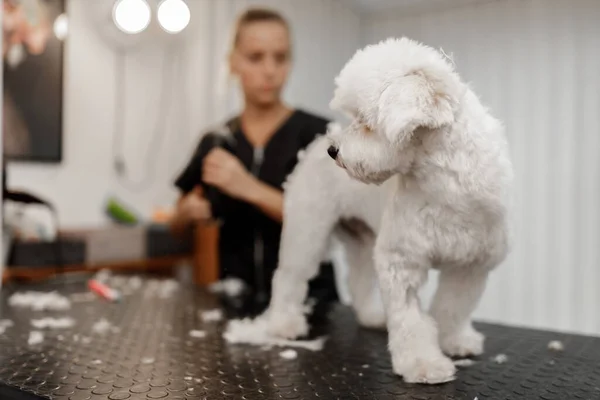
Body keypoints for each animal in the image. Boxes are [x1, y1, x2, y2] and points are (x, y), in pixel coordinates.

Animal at [268, 36, 516, 384]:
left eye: (366, 122)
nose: (334, 150)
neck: (444, 187)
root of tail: (313, 145)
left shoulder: (471, 264)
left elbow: (453, 308)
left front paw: (454, 341)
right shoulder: (402, 260)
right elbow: (409, 321)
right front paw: (422, 363)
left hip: (363, 241)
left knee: (358, 280)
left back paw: (371, 316)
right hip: (308, 231)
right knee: (289, 277)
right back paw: (284, 324)